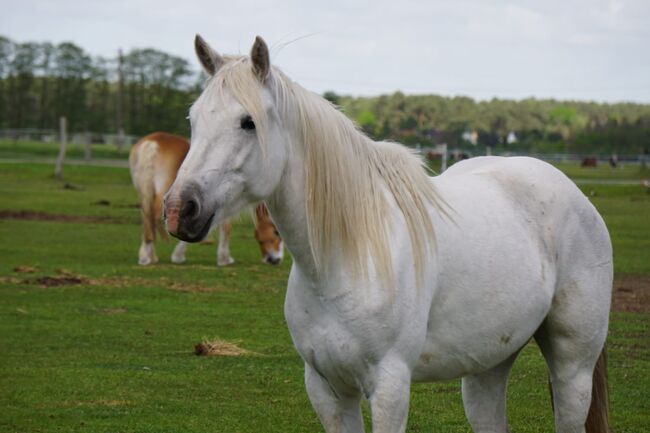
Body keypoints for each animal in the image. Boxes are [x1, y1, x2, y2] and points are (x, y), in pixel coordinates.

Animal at [128, 132, 280, 264]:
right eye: (276, 232)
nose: (273, 260)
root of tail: (151, 144)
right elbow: (226, 228)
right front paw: (224, 258)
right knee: (153, 217)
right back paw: (147, 257)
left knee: (147, 218)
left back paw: (148, 255)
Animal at [165, 36, 612, 432]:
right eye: (193, 120)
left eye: (247, 122)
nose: (178, 210)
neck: (346, 257)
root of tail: (576, 195)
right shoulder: (326, 388)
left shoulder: (390, 386)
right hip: (489, 365)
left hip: (573, 367)